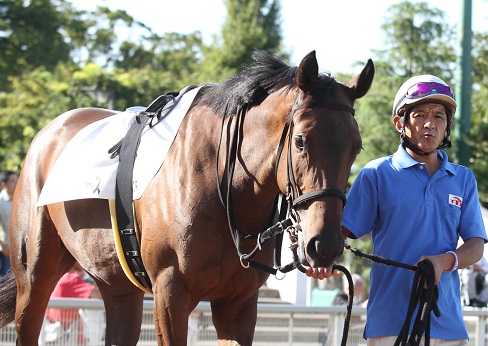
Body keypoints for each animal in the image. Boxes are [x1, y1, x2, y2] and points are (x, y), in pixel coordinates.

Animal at [0, 50, 374, 344]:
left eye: (356, 148)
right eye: (300, 141)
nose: (324, 245)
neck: (223, 187)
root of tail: (50, 132)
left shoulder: (238, 303)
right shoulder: (170, 296)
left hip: (117, 285)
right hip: (34, 277)